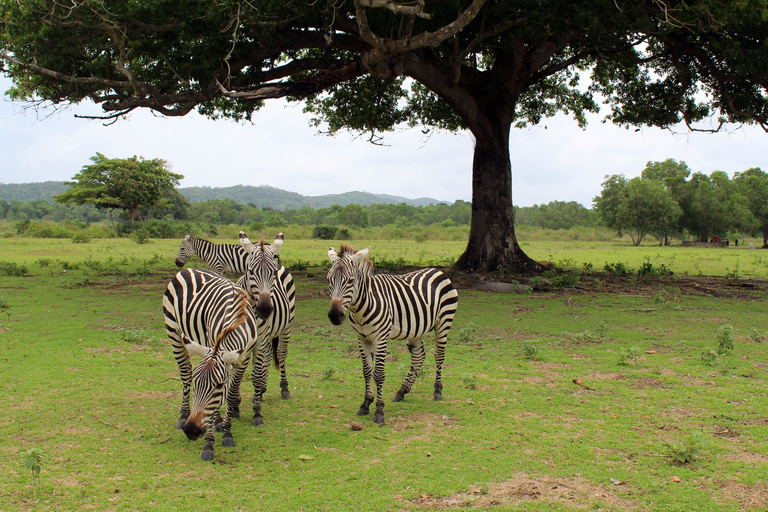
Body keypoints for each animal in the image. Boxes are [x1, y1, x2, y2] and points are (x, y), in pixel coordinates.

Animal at [162, 268, 258, 460]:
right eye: (197, 383)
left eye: (219, 385)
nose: (191, 430)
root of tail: (188, 269)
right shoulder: (210, 345)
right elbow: (212, 409)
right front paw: (209, 444)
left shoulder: (242, 359)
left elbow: (230, 394)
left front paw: (227, 431)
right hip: (174, 331)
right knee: (185, 372)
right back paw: (183, 415)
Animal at [236, 230, 296, 426]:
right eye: (250, 271)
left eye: (272, 273)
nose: (265, 309)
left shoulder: (261, 338)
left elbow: (254, 374)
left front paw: (256, 413)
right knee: (268, 355)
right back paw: (261, 390)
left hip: (286, 328)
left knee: (281, 354)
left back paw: (284, 389)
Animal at [328, 244, 460, 424]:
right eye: (329, 280)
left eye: (350, 280)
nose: (335, 316)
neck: (362, 306)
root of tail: (437, 271)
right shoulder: (362, 338)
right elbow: (367, 372)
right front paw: (366, 404)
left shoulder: (381, 338)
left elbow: (379, 374)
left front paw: (379, 411)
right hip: (417, 328)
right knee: (419, 357)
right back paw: (402, 391)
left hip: (444, 321)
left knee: (439, 355)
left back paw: (437, 391)